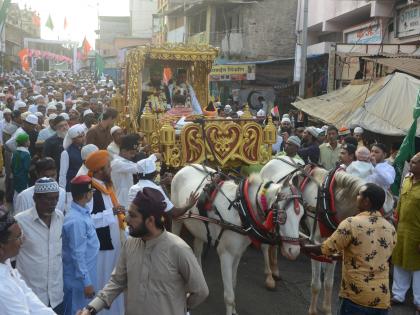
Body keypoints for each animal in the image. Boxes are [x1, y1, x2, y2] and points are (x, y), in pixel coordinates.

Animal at [172, 165, 304, 315]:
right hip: (177, 219)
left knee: (198, 250)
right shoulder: (226, 254)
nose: (294, 251)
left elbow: (234, 283)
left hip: (198, 227)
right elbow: (228, 295)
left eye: (302, 216)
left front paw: (234, 309)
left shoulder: (238, 253)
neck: (242, 211)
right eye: (282, 217)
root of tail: (185, 167)